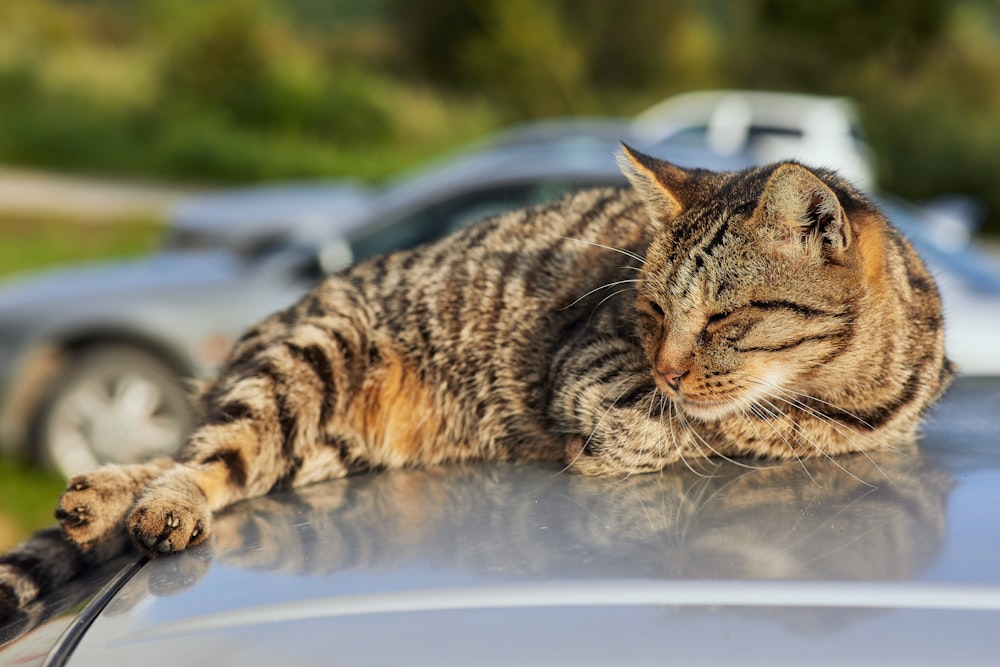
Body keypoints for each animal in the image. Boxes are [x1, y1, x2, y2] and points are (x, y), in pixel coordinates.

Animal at [1, 147, 952, 620]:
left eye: (721, 317)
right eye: (649, 309)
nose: (669, 363)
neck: (843, 393)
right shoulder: (592, 368)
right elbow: (667, 428)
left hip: (324, 448)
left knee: (223, 455)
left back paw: (103, 501)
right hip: (308, 358)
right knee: (209, 449)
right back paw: (150, 504)